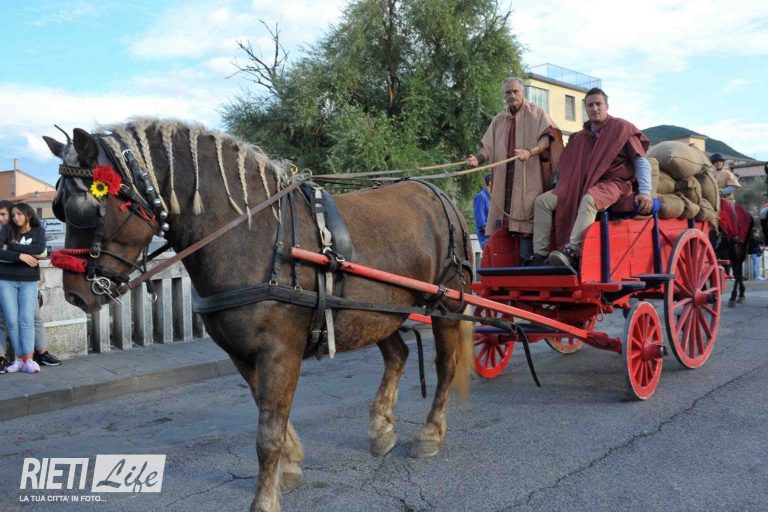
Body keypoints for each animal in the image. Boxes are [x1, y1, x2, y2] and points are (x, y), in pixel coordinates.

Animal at [43, 119, 474, 512]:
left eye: (85, 209)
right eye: (58, 210)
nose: (74, 293)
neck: (256, 237)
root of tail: (436, 193)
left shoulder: (280, 351)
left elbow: (267, 432)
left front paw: (265, 498)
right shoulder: (241, 352)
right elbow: (269, 414)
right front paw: (290, 463)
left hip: (447, 304)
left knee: (446, 364)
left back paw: (431, 433)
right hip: (376, 313)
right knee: (398, 355)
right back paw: (382, 427)